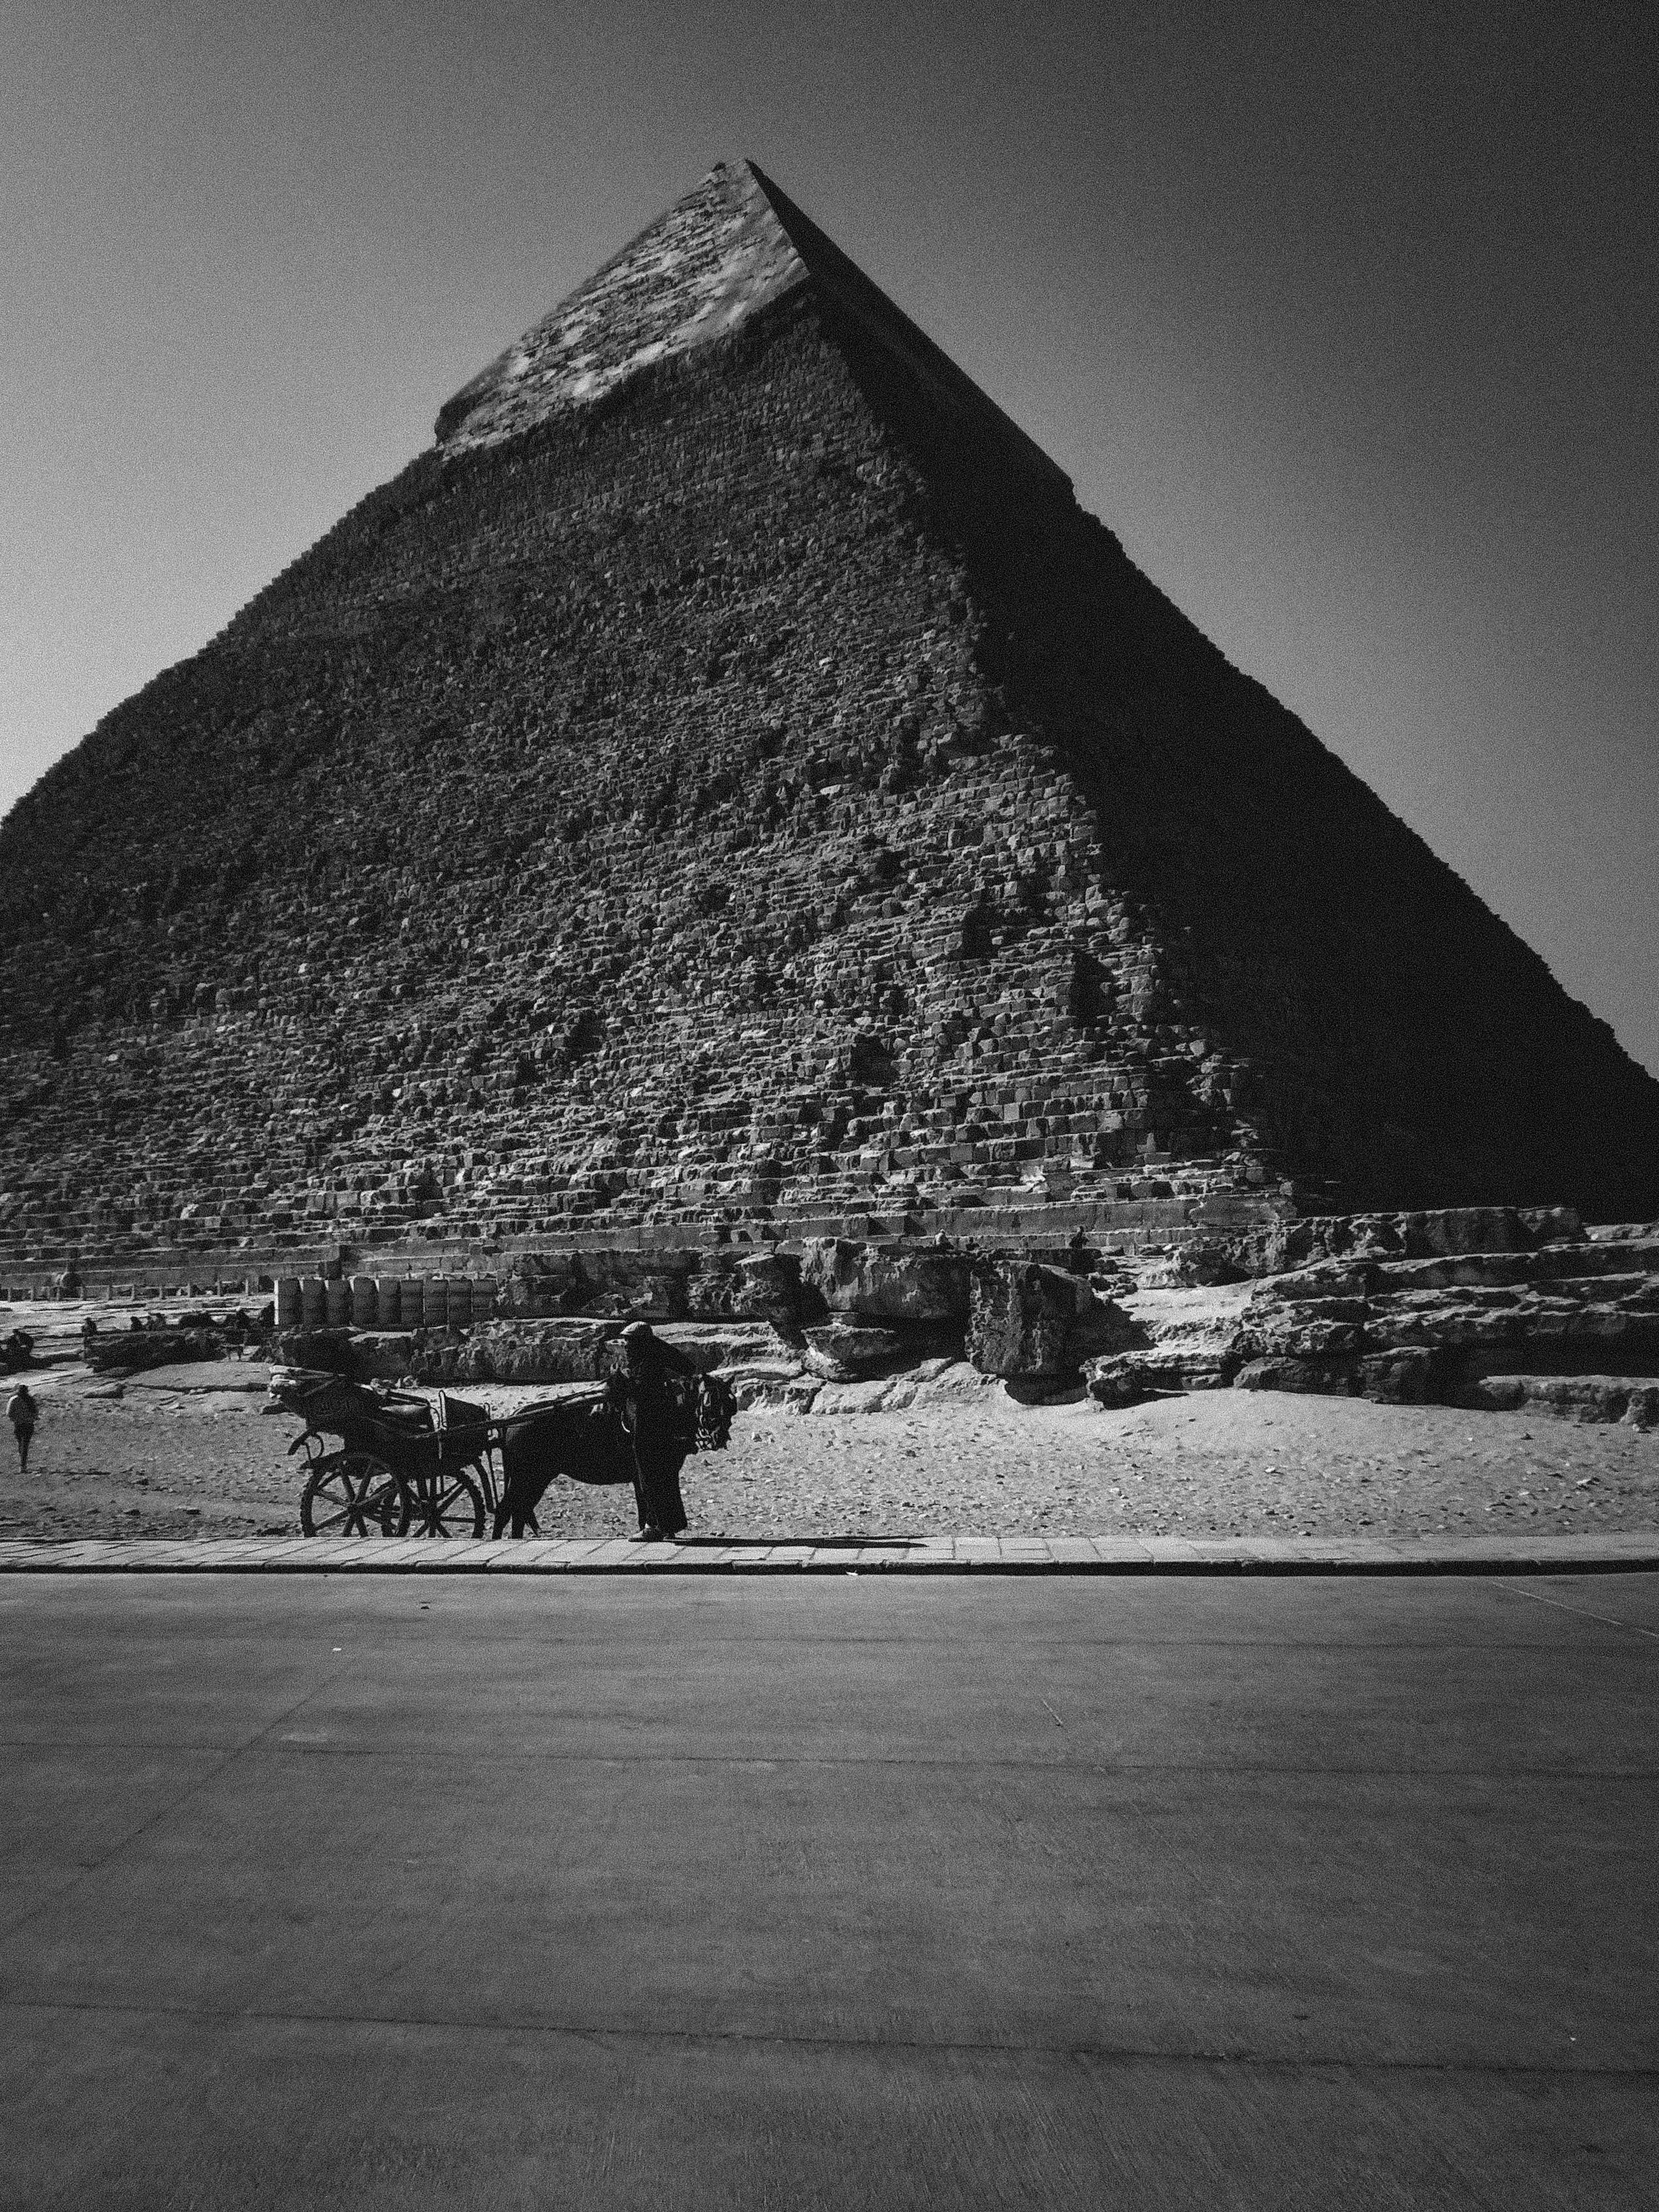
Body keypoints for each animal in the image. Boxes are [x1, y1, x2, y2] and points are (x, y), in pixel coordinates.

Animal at [493, 1362, 738, 1539]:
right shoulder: (649, 1469)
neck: (667, 1407)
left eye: (731, 1405)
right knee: (506, 1511)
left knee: (519, 1511)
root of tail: (514, 1417)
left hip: (536, 1479)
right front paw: (654, 1531)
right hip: (527, 1477)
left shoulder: (655, 1473)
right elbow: (649, 1499)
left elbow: (646, 1504)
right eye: (709, 1403)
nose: (721, 1438)